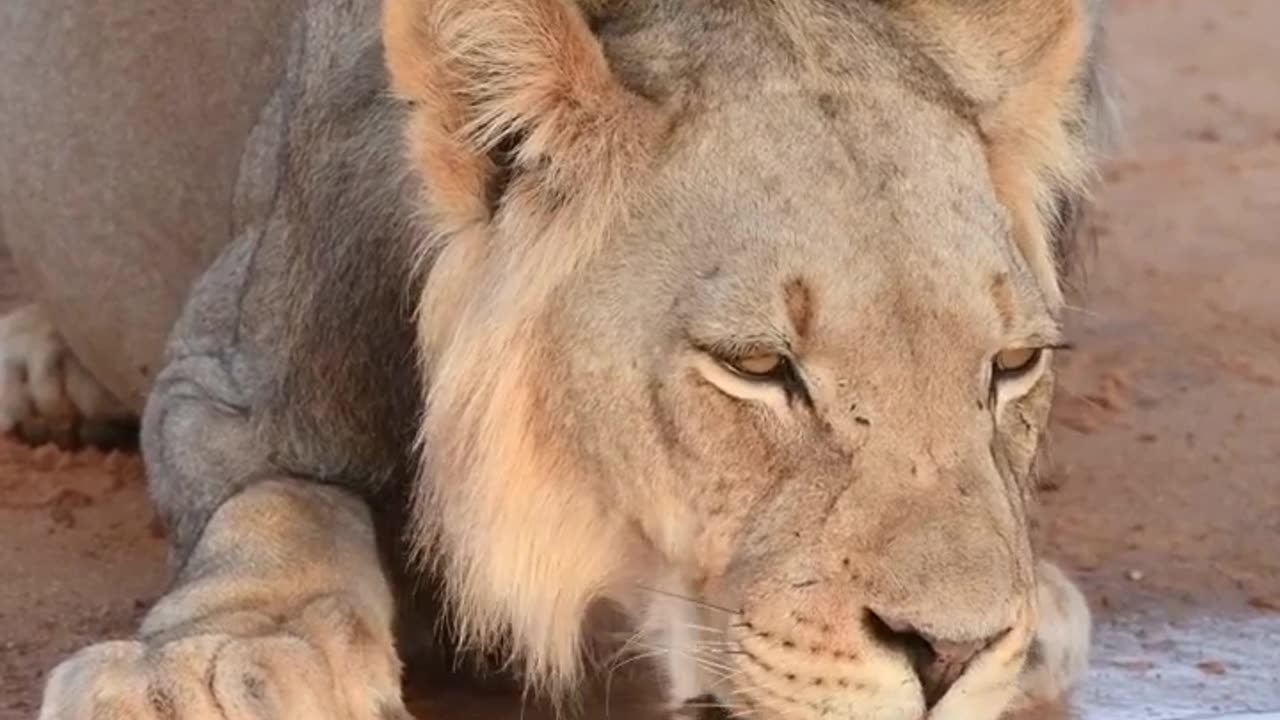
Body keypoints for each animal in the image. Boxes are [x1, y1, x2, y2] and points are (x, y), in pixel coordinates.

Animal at [0, 0, 1111, 712]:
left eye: (1011, 367)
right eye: (755, 367)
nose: (954, 653)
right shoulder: (230, 376)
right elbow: (276, 498)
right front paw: (215, 666)